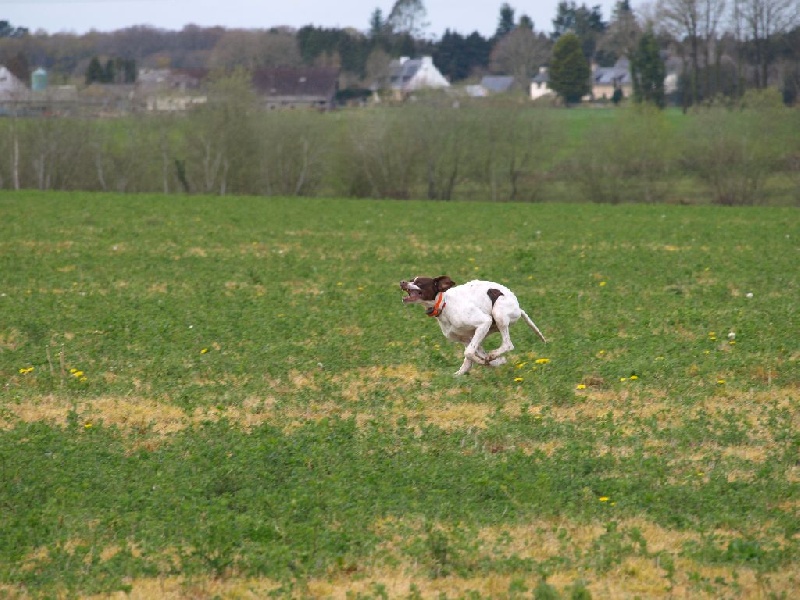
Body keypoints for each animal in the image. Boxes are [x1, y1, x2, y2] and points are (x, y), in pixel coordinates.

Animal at [398, 276, 548, 376]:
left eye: (419, 282)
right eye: (411, 279)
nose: (402, 282)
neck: (444, 304)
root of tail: (518, 308)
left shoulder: (484, 322)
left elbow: (469, 353)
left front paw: (489, 361)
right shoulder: (467, 338)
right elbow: (471, 357)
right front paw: (496, 362)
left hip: (498, 314)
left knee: (508, 344)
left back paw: (494, 355)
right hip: (487, 330)